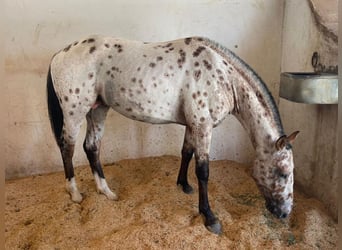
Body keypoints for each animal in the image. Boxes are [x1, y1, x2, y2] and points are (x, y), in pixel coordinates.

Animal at [46, 35, 298, 234]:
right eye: (283, 173)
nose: (285, 214)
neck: (222, 76)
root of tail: (59, 54)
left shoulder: (193, 125)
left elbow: (186, 152)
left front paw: (183, 185)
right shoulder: (203, 126)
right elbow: (203, 171)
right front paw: (210, 218)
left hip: (98, 109)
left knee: (91, 147)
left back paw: (106, 191)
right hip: (75, 112)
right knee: (67, 148)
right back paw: (75, 194)